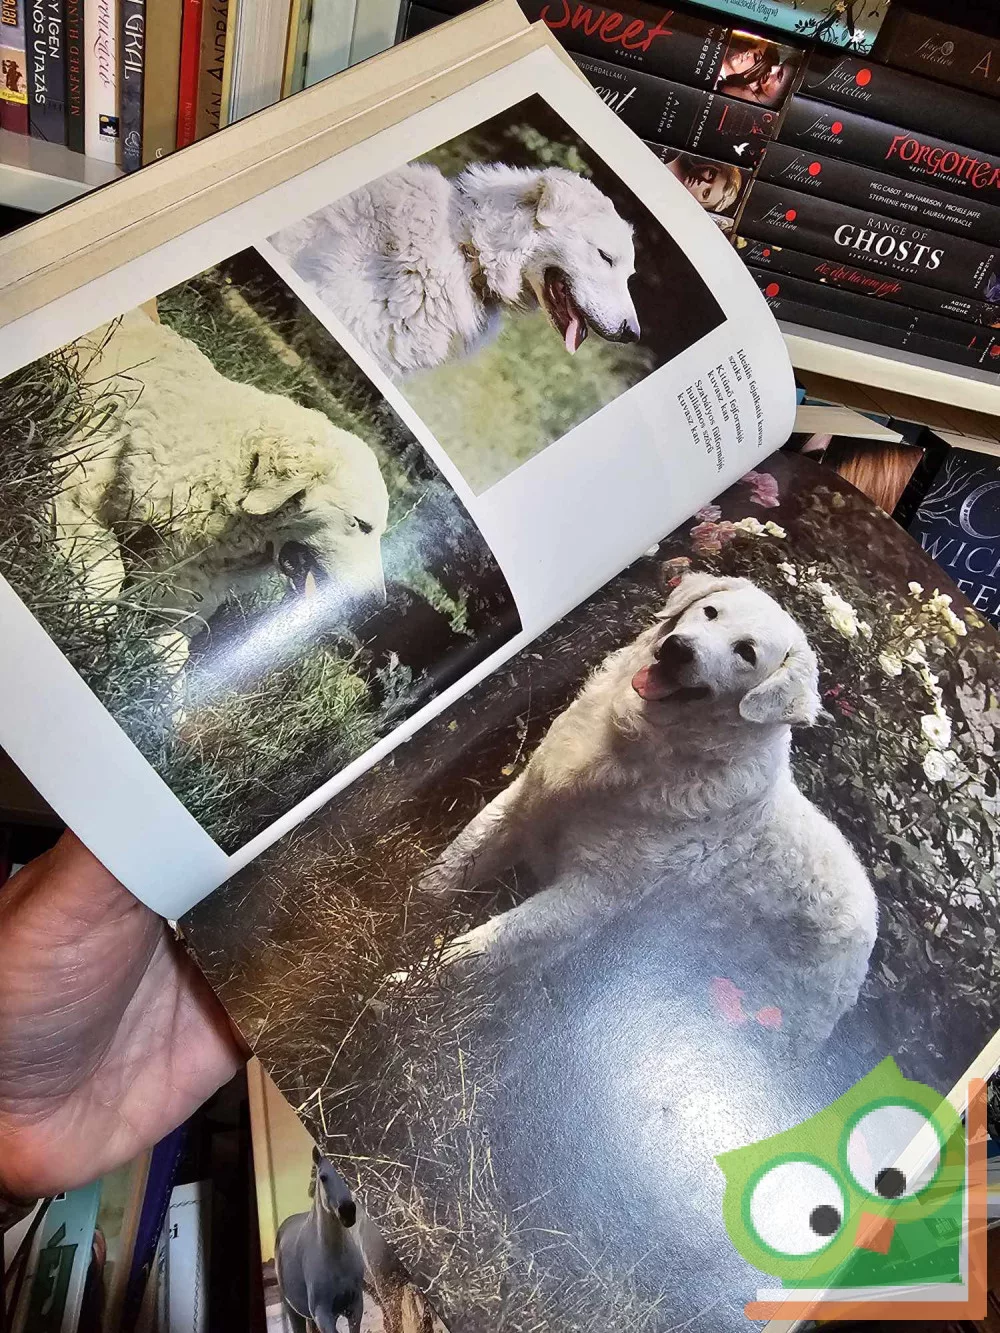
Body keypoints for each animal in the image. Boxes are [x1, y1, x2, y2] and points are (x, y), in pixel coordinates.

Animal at [57, 309, 389, 663]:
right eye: (361, 524)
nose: (376, 607)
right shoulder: (76, 493)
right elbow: (107, 570)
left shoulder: (184, 592)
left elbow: (172, 654)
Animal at [422, 573, 878, 1044]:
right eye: (710, 612)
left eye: (746, 652)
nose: (679, 648)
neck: (640, 744)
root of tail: (869, 928)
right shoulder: (526, 798)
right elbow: (456, 861)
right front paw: (416, 906)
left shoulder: (589, 896)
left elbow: (487, 944)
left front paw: (410, 983)